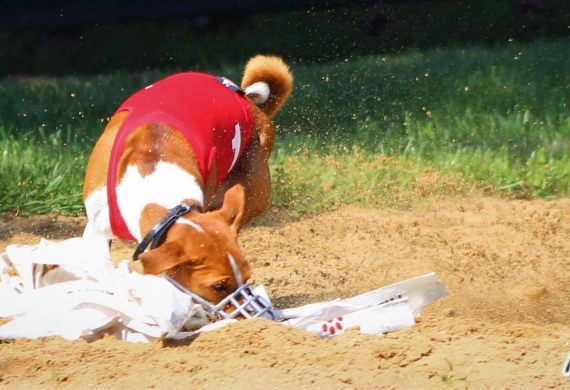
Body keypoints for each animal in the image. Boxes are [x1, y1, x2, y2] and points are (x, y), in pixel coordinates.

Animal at [82, 56, 292, 310]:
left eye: (247, 276)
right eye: (219, 286)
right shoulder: (97, 228)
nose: (250, 312)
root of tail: (254, 105)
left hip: (253, 194)